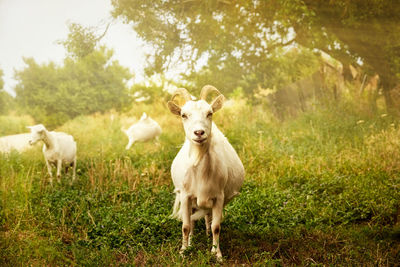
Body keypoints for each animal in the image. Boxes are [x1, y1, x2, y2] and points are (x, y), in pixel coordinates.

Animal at [167, 85, 245, 260]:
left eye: (210, 113)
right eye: (183, 115)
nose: (199, 133)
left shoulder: (218, 197)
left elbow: (217, 226)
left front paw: (217, 254)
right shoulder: (186, 196)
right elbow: (186, 226)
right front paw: (183, 251)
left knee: (209, 217)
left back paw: (208, 236)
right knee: (192, 221)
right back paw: (191, 242)